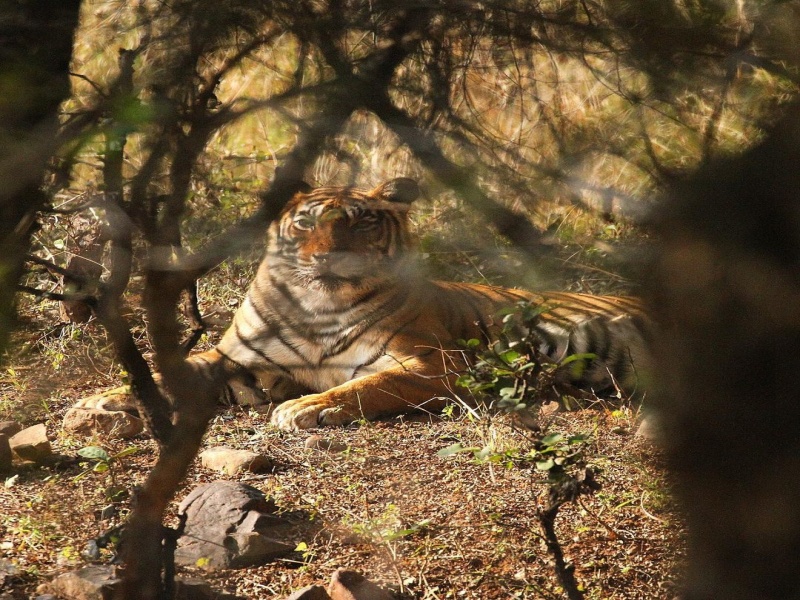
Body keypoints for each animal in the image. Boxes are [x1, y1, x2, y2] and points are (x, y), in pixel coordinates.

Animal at [191, 178, 652, 432]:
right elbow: (186, 368)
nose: (327, 257)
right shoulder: (237, 356)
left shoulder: (435, 362)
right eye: (305, 223)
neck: (317, 308)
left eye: (362, 222)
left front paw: (306, 407)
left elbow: (370, 385)